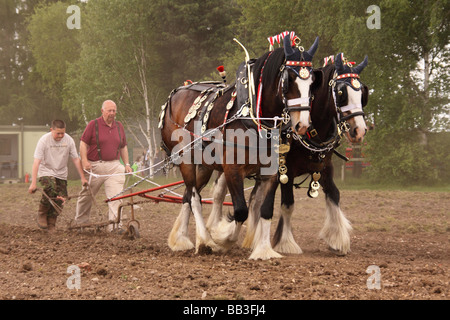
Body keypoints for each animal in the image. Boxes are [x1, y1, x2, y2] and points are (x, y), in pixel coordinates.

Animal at [160, 34, 322, 255]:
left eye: (313, 82)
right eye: (288, 80)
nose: (302, 124)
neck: (253, 116)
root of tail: (175, 94)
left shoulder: (271, 173)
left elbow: (265, 210)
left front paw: (263, 250)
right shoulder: (232, 170)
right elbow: (240, 211)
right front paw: (221, 237)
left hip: (204, 166)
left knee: (187, 196)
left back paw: (181, 240)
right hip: (186, 160)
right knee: (194, 198)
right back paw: (205, 241)